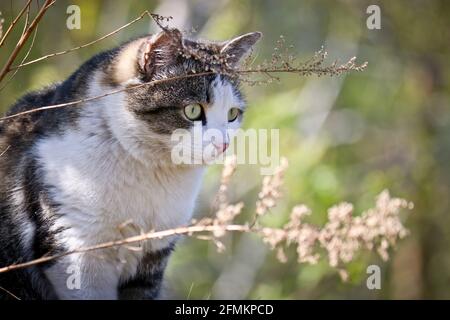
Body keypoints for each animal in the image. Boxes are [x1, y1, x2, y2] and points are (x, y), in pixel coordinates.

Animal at [0, 28, 260, 300]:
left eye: (232, 114)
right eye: (192, 110)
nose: (224, 144)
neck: (152, 172)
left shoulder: (154, 255)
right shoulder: (76, 250)